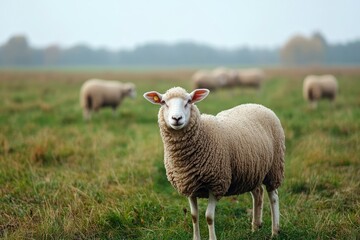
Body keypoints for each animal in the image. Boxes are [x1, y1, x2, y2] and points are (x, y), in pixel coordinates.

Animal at [142, 87, 286, 239]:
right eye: (163, 102)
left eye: (189, 101)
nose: (176, 118)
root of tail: (257, 104)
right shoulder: (189, 186)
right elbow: (194, 216)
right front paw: (196, 238)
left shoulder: (216, 184)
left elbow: (209, 217)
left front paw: (212, 237)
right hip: (253, 170)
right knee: (258, 193)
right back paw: (255, 227)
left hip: (275, 167)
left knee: (273, 196)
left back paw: (275, 231)